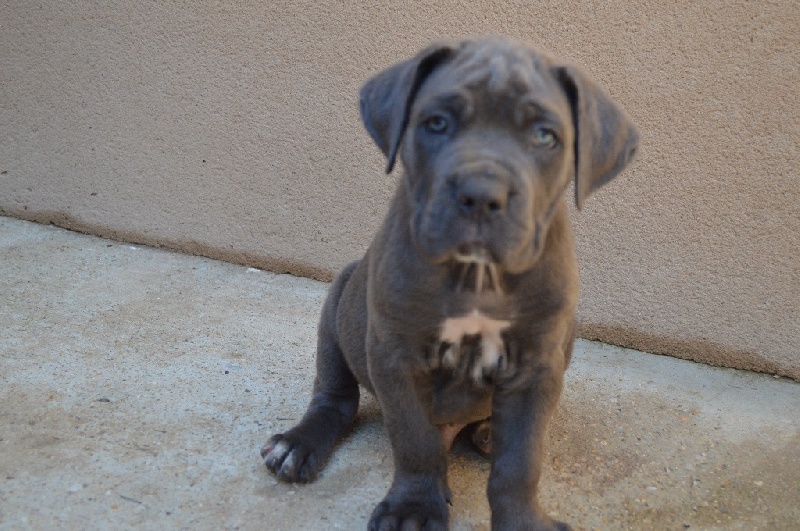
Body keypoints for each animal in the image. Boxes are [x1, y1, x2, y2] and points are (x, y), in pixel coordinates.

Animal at [260, 35, 636, 528]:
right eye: (436, 123)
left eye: (544, 135)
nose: (481, 193)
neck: (476, 274)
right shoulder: (395, 355)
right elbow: (415, 439)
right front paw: (413, 507)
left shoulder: (536, 365)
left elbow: (520, 461)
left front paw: (522, 519)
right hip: (339, 305)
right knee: (335, 398)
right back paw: (298, 443)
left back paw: (488, 431)